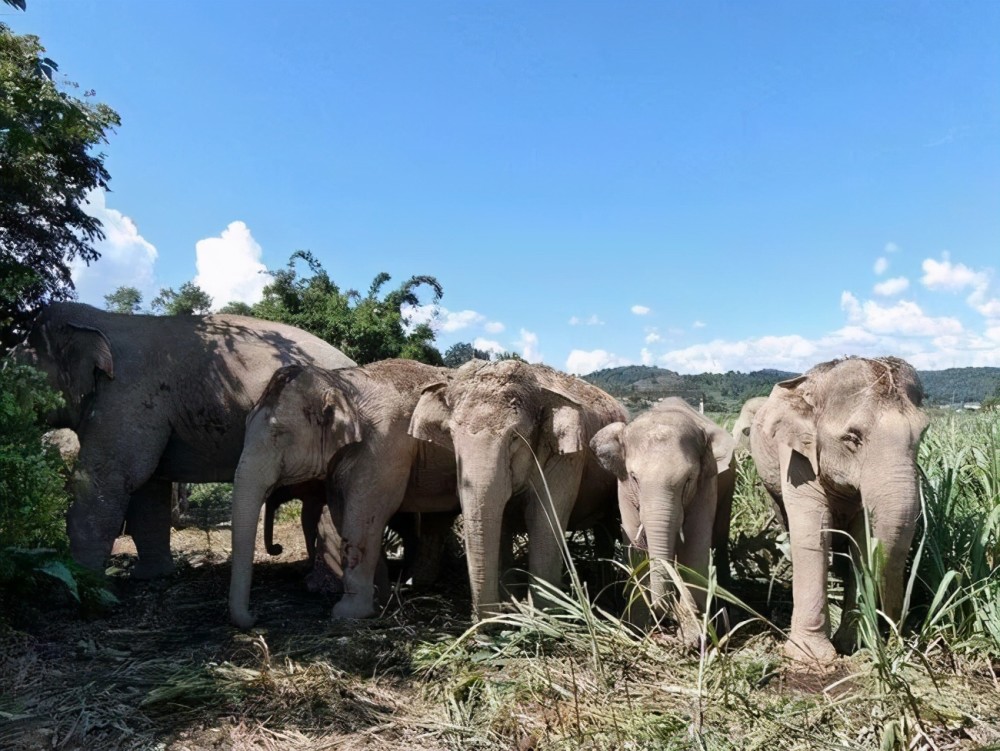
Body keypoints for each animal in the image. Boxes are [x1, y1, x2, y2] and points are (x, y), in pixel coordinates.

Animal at [229, 358, 458, 628]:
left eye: (278, 434)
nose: (255, 618)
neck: (342, 382)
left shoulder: (386, 446)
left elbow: (364, 515)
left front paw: (349, 613)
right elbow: (342, 513)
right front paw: (381, 602)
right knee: (438, 521)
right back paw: (416, 583)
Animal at [406, 358, 624, 624]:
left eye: (514, 438)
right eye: (451, 436)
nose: (488, 621)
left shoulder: (568, 457)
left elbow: (542, 519)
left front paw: (543, 616)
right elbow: (503, 522)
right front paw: (512, 603)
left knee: (606, 531)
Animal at [588, 400, 740, 636]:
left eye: (688, 479)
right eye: (634, 478)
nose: (668, 618)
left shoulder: (707, 484)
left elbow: (695, 547)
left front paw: (695, 635)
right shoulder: (623, 489)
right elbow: (635, 551)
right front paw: (637, 631)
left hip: (729, 485)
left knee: (720, 538)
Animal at [752, 356, 928, 664]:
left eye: (922, 434)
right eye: (852, 438)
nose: (897, 636)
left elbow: (862, 539)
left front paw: (854, 644)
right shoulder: (797, 457)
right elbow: (813, 532)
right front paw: (810, 657)